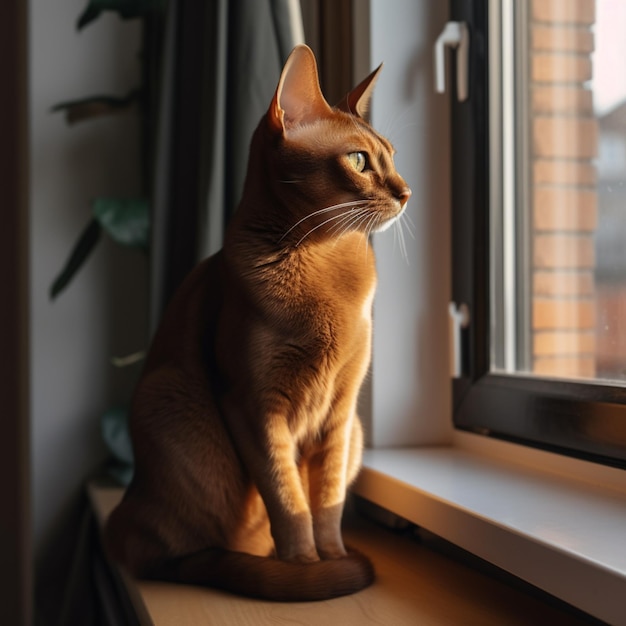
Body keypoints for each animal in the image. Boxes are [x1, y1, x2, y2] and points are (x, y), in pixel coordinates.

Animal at [103, 44, 410, 600]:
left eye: (393, 157)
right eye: (358, 160)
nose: (407, 191)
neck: (324, 259)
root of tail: (122, 518)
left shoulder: (340, 412)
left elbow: (325, 502)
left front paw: (330, 557)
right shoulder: (253, 406)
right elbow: (288, 499)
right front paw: (306, 566)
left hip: (353, 431)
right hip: (166, 399)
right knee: (176, 555)